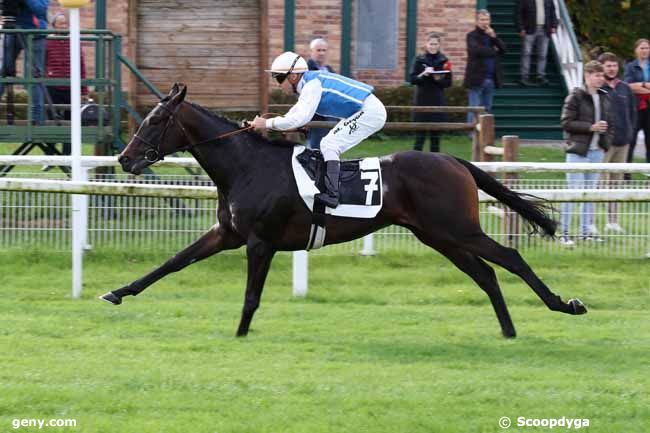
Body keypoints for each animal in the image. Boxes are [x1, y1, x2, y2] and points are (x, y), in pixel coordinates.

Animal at [101, 85, 588, 338]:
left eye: (155, 122)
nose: (125, 159)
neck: (246, 165)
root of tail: (454, 161)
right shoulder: (228, 234)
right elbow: (172, 262)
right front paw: (116, 292)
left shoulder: (260, 241)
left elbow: (251, 295)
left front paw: (239, 334)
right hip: (438, 235)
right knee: (485, 273)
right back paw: (507, 329)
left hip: (457, 229)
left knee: (510, 258)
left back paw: (565, 304)